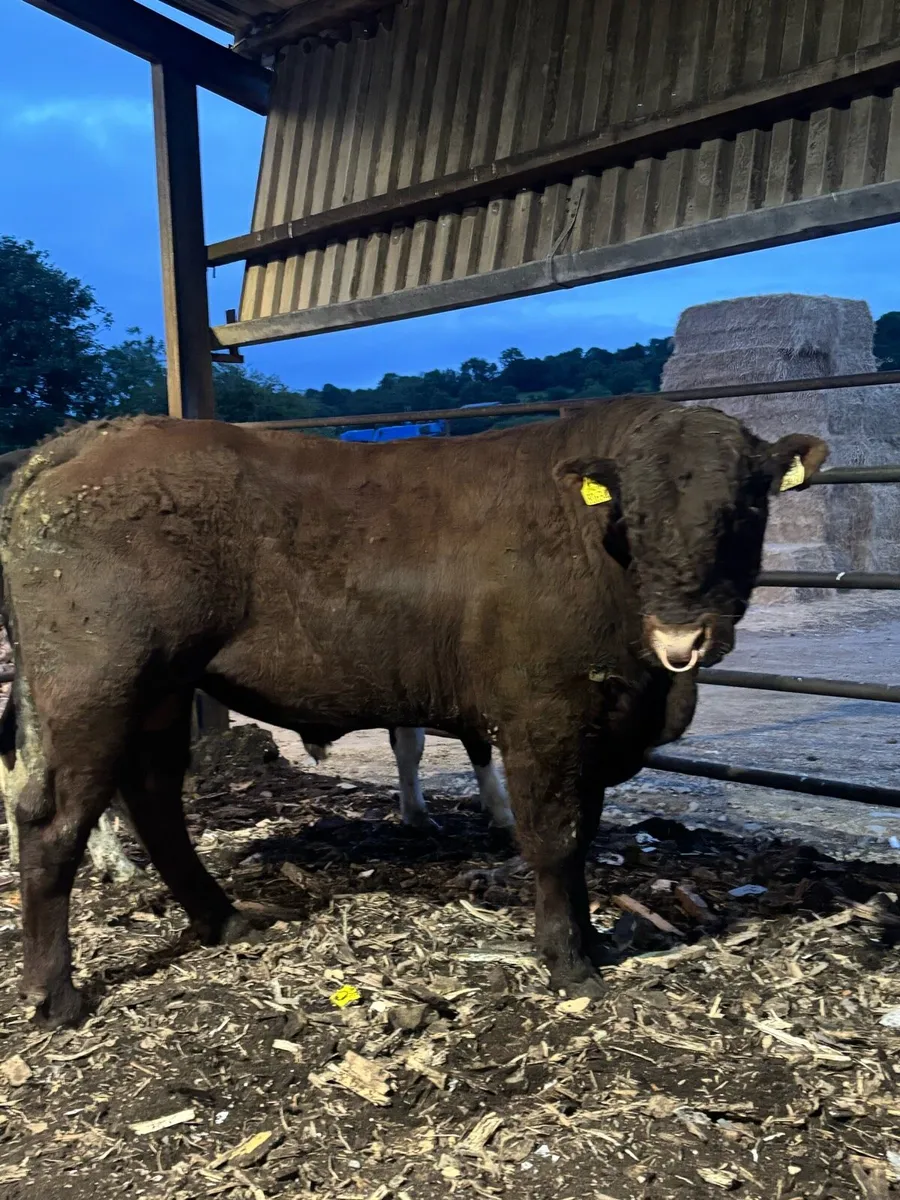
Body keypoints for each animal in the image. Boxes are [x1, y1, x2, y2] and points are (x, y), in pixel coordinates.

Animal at [0, 400, 826, 1026]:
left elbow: (583, 835)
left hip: (164, 690)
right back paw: (55, 995)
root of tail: (96, 434)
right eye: (636, 515)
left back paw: (222, 918)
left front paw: (587, 942)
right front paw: (569, 961)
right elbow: (556, 840)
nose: (684, 635)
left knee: (153, 795)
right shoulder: (544, 719)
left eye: (745, 507)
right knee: (53, 818)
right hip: (96, 684)